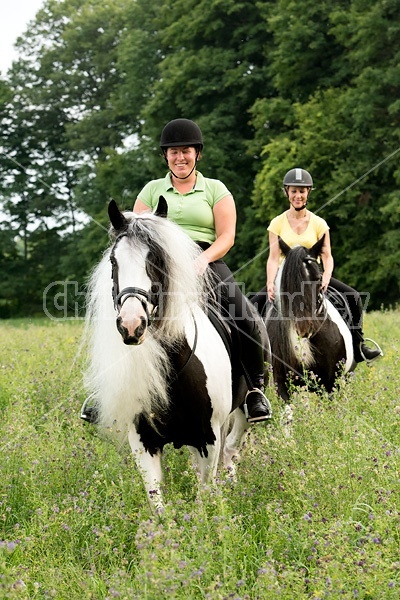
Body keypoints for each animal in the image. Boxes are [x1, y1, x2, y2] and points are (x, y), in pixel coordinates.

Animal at [81, 197, 268, 510]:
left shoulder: (209, 438)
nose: (131, 325)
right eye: (113, 261)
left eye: (156, 259)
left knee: (232, 449)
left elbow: (204, 501)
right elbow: (158, 505)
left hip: (242, 412)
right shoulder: (144, 441)